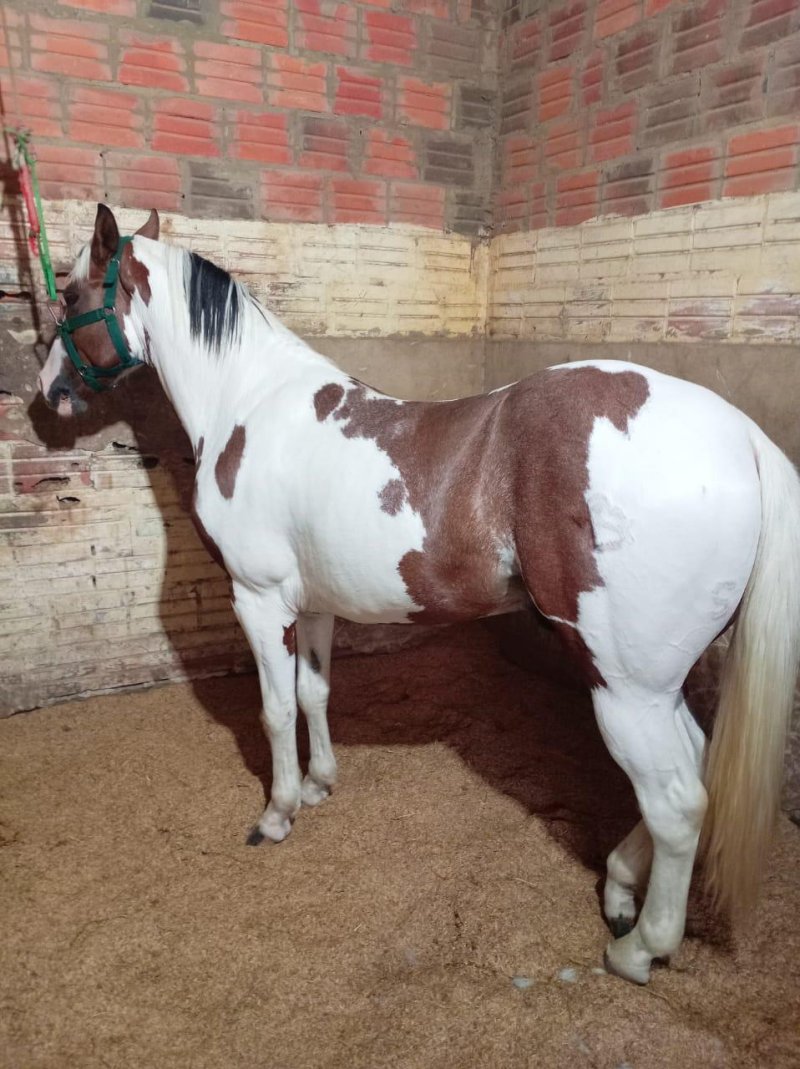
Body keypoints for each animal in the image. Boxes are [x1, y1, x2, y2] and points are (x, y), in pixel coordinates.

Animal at [38, 204, 800, 985]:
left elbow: (275, 710)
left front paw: (279, 812)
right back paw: (620, 886)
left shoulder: (257, 600)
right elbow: (314, 693)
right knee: (694, 766)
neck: (246, 400)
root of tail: (740, 435)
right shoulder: (313, 604)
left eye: (70, 294)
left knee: (677, 801)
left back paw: (639, 946)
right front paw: (321, 783)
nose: (50, 391)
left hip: (626, 686)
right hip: (656, 680)